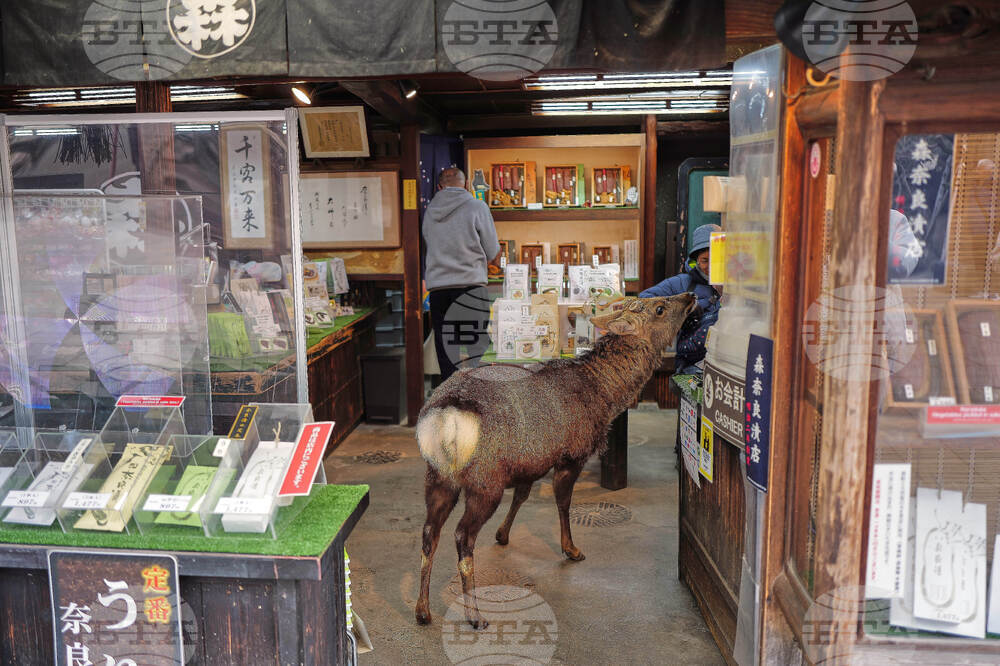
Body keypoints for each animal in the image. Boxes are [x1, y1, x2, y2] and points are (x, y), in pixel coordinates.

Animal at [414, 293, 697, 629]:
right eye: (660, 308)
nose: (691, 295)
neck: (604, 396)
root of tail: (446, 415)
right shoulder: (571, 454)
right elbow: (563, 503)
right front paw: (572, 549)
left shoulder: (530, 461)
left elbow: (522, 496)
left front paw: (503, 535)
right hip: (486, 479)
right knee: (461, 535)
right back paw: (475, 616)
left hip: (438, 476)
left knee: (429, 531)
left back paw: (422, 610)